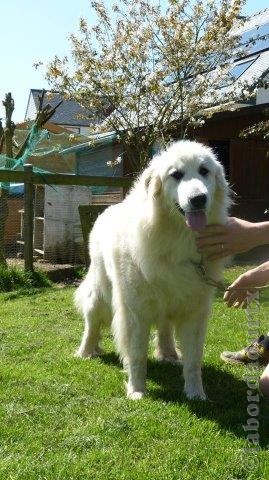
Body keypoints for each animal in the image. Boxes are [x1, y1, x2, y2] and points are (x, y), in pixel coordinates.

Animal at [74, 141, 229, 400]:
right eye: (176, 175)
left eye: (204, 171)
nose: (199, 199)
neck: (177, 239)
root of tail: (107, 209)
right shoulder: (135, 311)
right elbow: (137, 355)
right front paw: (137, 391)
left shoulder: (195, 311)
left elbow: (193, 360)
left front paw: (196, 393)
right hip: (101, 294)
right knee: (92, 323)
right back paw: (85, 352)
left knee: (165, 327)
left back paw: (168, 354)